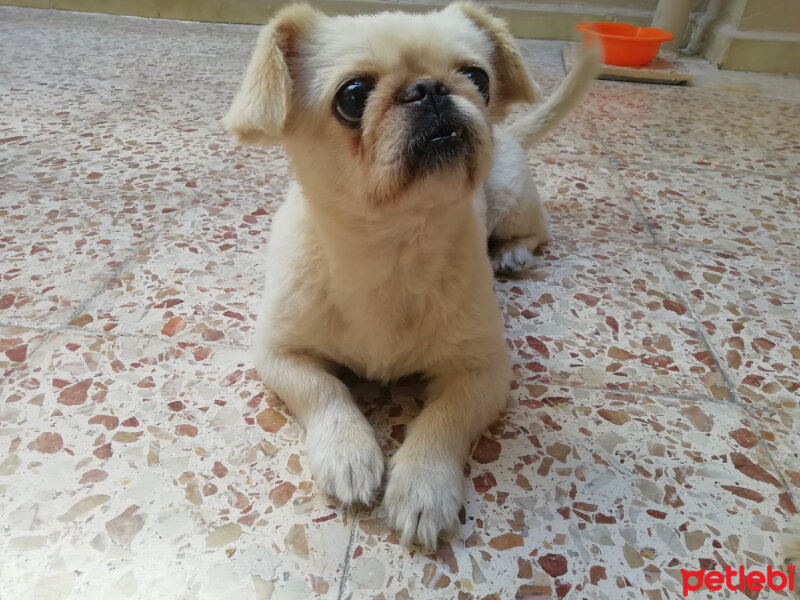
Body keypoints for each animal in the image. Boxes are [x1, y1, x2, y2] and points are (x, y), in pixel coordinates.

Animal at [222, 2, 596, 552]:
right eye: (352, 96)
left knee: (538, 231)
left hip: (512, 198)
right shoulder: (281, 354)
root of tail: (509, 133)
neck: (392, 247)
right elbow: (325, 391)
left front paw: (424, 486)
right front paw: (348, 453)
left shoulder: (484, 372)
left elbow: (443, 420)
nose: (432, 88)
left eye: (477, 78)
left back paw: (511, 255)